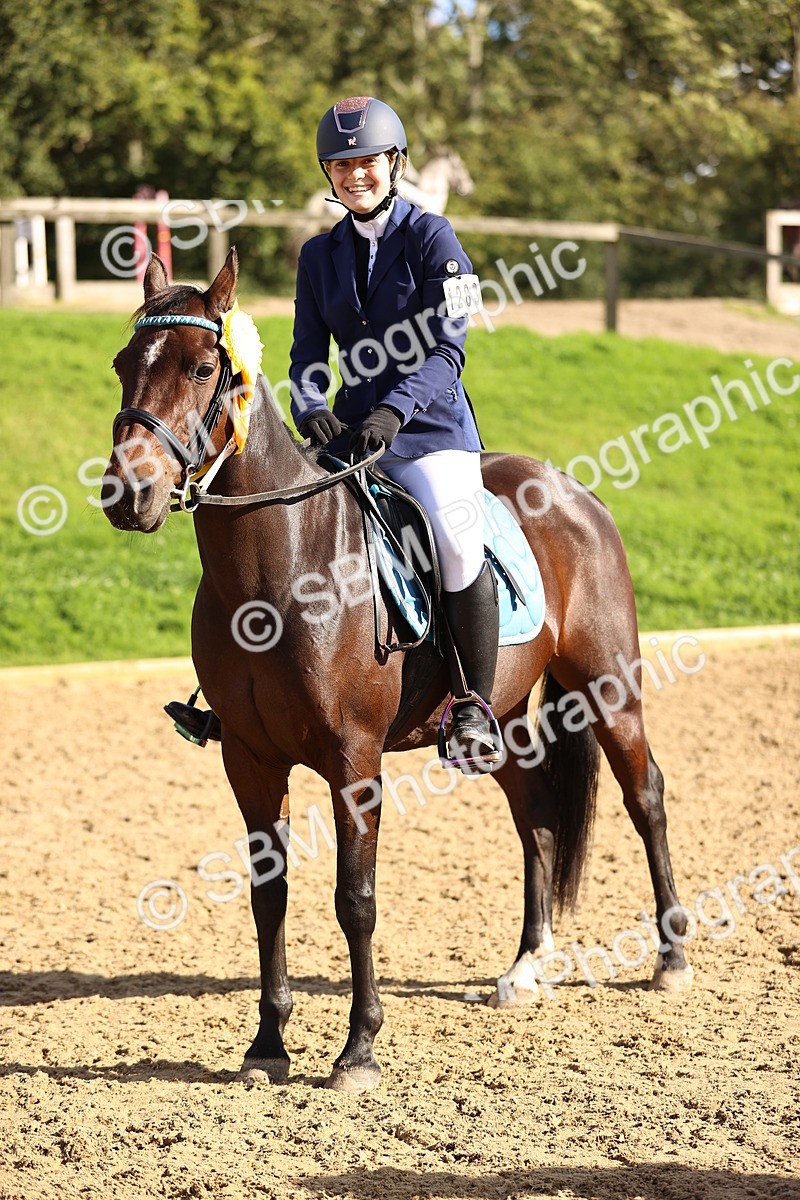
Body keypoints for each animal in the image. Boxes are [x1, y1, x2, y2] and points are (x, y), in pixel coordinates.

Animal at [102, 248, 692, 1093]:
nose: (129, 492)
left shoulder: (354, 760)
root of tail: (572, 488)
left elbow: (355, 897)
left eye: (204, 367)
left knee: (645, 797)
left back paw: (672, 957)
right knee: (537, 818)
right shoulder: (249, 760)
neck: (279, 569)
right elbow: (269, 896)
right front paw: (267, 1044)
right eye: (126, 365)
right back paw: (526, 967)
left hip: (610, 686)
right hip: (500, 722)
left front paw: (358, 1049)